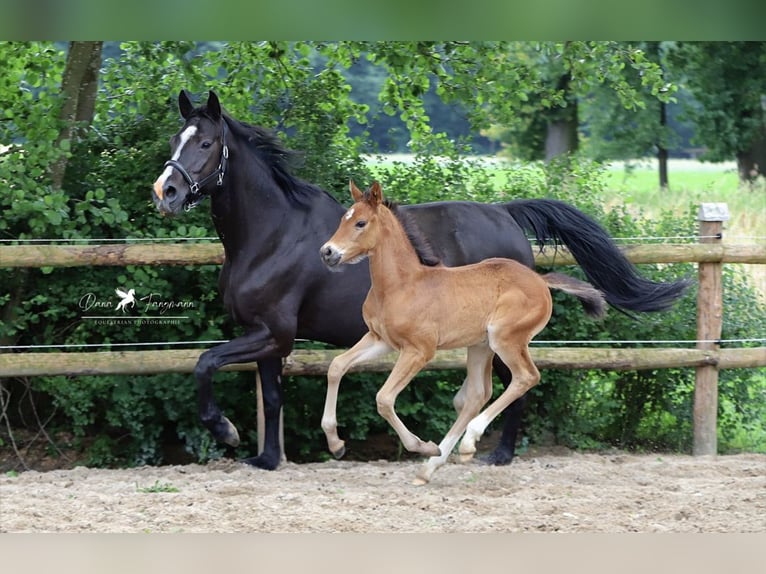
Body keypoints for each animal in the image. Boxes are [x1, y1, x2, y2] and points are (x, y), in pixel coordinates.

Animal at [319, 181, 607, 484]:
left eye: (360, 223)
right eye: (343, 220)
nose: (327, 252)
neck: (401, 285)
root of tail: (540, 280)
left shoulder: (419, 351)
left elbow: (384, 399)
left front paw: (421, 445)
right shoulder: (380, 340)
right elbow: (336, 366)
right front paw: (336, 444)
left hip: (505, 340)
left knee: (525, 377)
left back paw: (467, 442)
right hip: (481, 346)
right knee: (477, 395)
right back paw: (432, 465)